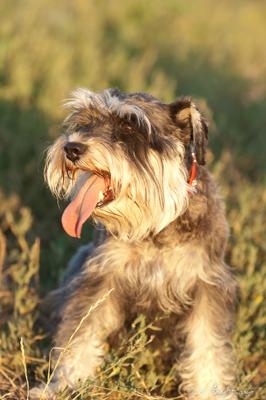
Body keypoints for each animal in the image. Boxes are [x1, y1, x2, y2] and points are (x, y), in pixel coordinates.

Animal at [33, 89, 239, 398]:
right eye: (85, 122)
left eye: (130, 127)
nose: (72, 149)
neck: (155, 227)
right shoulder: (100, 277)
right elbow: (81, 332)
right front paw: (63, 384)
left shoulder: (206, 285)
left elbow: (207, 344)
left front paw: (210, 390)